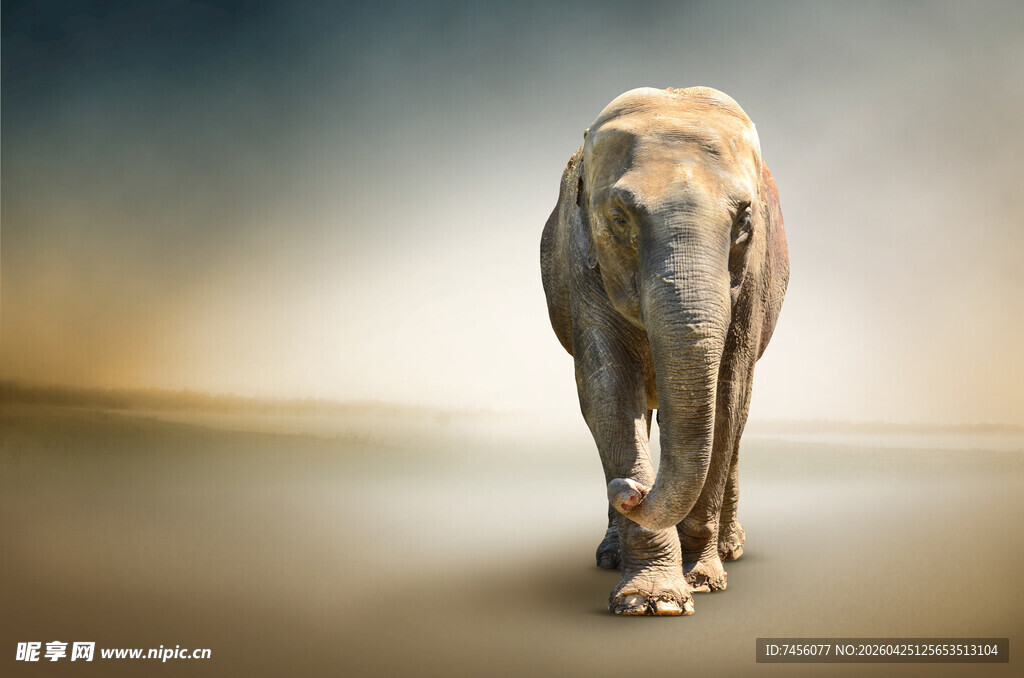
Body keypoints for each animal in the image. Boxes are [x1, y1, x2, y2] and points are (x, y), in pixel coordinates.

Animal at [540, 87, 788, 615]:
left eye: (744, 221)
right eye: (618, 219)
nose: (630, 493)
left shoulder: (752, 283)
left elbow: (726, 399)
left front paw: (701, 582)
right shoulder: (580, 265)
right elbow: (608, 396)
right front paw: (651, 602)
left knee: (737, 422)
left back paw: (731, 550)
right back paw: (611, 554)